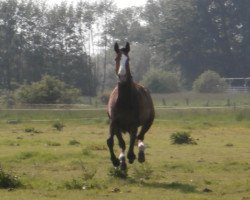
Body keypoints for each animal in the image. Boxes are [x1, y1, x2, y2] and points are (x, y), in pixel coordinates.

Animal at [107, 41, 154, 170]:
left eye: (128, 59)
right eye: (116, 58)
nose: (122, 76)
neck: (124, 102)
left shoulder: (133, 124)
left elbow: (133, 139)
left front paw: (131, 156)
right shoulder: (114, 122)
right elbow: (112, 141)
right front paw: (116, 161)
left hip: (148, 122)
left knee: (140, 136)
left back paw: (140, 154)